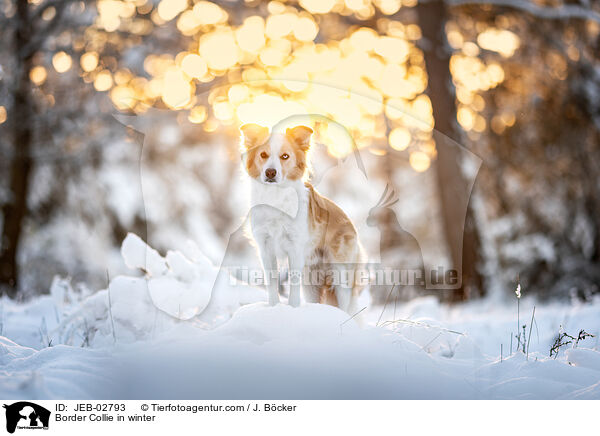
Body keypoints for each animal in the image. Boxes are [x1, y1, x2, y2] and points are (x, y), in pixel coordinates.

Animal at [239, 123, 366, 314]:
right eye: (263, 155)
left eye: (285, 156)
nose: (270, 172)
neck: (276, 197)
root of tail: (351, 224)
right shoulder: (265, 247)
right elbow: (272, 284)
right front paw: (273, 308)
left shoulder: (295, 248)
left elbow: (293, 285)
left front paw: (292, 309)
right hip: (311, 282)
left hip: (341, 276)